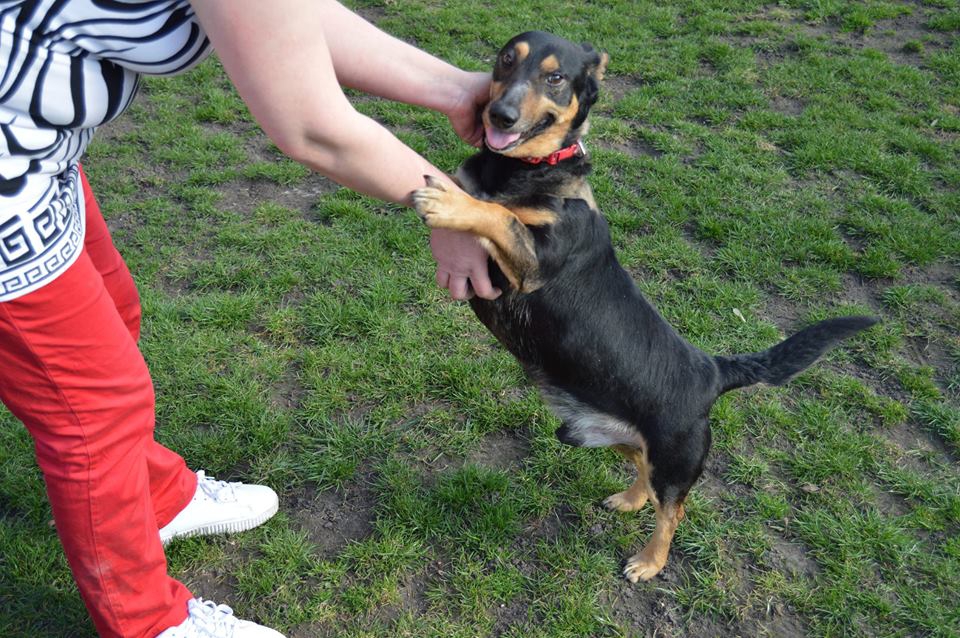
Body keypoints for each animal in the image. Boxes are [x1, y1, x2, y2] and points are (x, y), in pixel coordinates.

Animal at [412, 31, 878, 583]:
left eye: (555, 77)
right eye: (507, 59)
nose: (499, 116)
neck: (527, 168)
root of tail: (714, 371)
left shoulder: (534, 261)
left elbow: (497, 215)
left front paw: (450, 204)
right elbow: (480, 196)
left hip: (674, 460)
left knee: (674, 511)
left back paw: (649, 563)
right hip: (618, 434)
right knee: (643, 475)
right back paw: (630, 500)